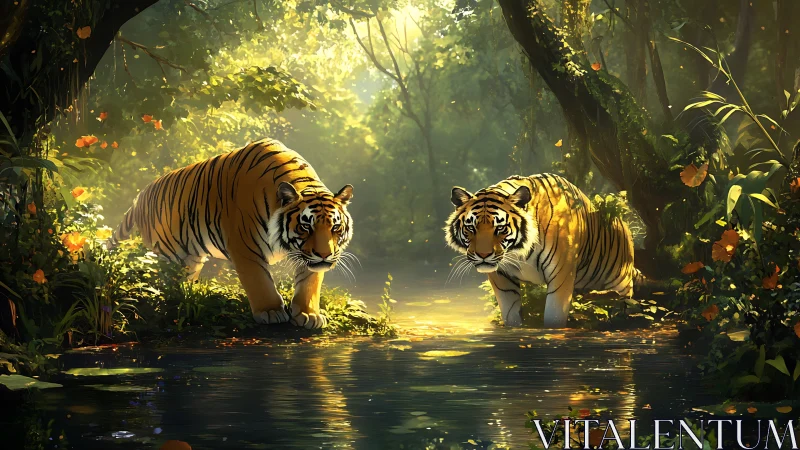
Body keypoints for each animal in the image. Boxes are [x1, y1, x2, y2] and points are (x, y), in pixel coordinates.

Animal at [107, 138, 354, 329]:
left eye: (335, 227)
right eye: (305, 226)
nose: (324, 255)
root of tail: (140, 196)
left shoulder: (307, 257)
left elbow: (309, 282)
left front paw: (308, 314)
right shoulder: (245, 246)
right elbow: (259, 281)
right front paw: (270, 312)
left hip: (191, 255)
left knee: (184, 275)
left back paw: (186, 294)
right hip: (163, 252)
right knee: (160, 276)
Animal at [444, 173, 640, 328]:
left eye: (500, 228)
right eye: (471, 227)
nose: (483, 256)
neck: (517, 252)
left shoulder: (561, 275)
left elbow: (554, 317)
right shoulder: (502, 278)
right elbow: (510, 316)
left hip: (621, 284)